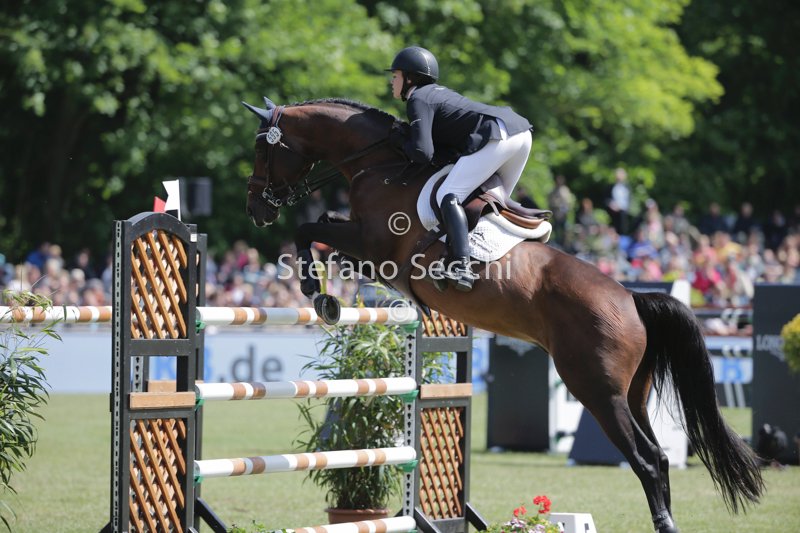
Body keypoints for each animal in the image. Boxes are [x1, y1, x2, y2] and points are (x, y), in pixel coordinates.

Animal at [242, 97, 763, 533]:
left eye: (262, 151)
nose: (255, 209)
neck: (381, 164)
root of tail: (631, 300)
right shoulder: (364, 245)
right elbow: (324, 229)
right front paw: (329, 288)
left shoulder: (374, 245)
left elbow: (308, 228)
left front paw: (317, 293)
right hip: (634, 392)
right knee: (658, 455)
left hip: (598, 391)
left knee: (647, 460)